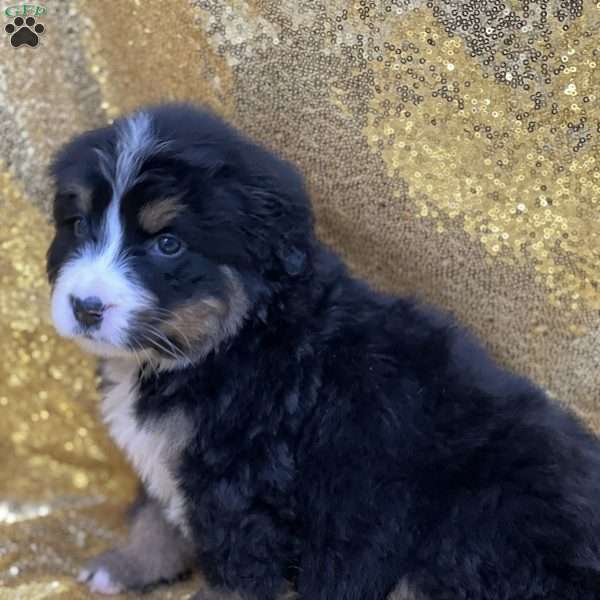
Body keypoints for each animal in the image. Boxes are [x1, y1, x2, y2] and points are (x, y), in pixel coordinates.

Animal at [48, 104, 600, 600]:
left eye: (167, 244)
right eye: (80, 226)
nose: (85, 307)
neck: (227, 342)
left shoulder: (240, 484)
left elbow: (236, 571)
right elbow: (153, 519)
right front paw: (124, 566)